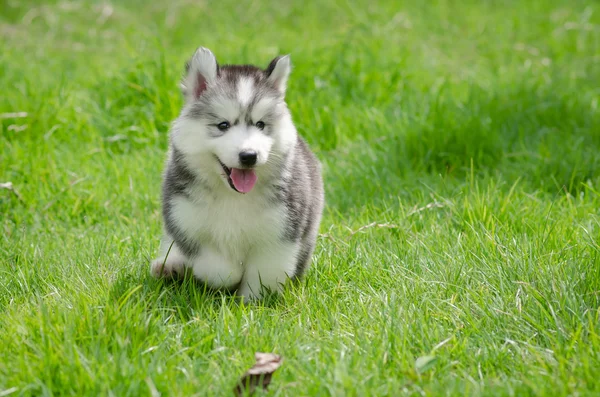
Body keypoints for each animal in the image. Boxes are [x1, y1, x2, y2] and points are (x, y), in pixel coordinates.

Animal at [152, 46, 326, 298]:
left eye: (260, 124)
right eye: (223, 125)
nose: (249, 156)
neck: (233, 196)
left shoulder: (280, 233)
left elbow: (265, 274)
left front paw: (251, 301)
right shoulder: (186, 222)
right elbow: (216, 266)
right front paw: (229, 275)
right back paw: (170, 267)